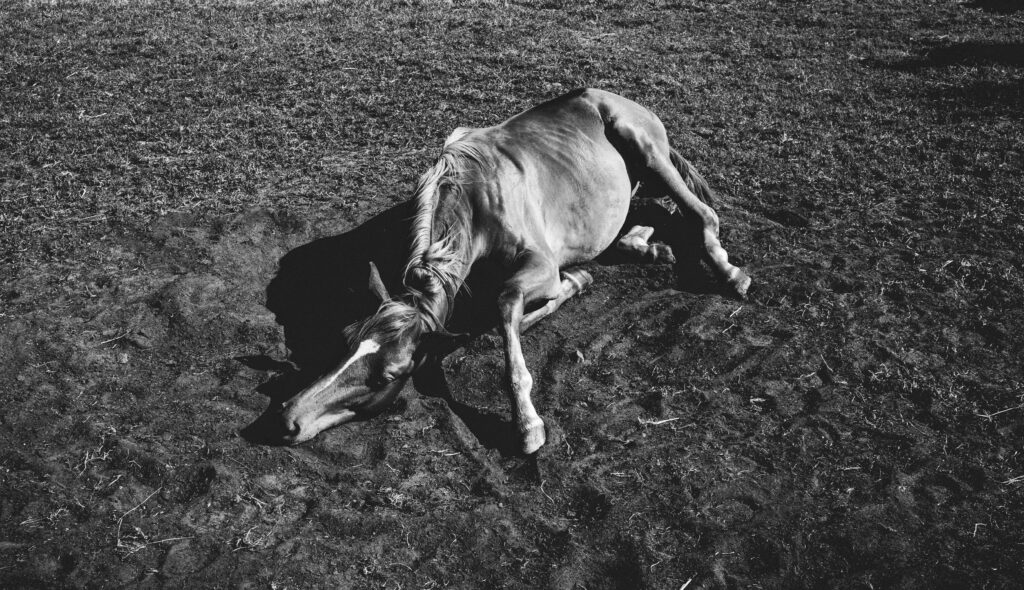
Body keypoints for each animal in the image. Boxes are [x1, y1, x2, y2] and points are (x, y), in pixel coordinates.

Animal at [277, 88, 750, 453]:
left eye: (389, 374)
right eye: (345, 341)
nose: (289, 419)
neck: (475, 200)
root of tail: (621, 99)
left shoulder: (540, 265)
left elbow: (506, 308)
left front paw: (527, 424)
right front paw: (575, 284)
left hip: (649, 154)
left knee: (701, 214)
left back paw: (731, 273)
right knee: (645, 221)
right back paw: (650, 249)